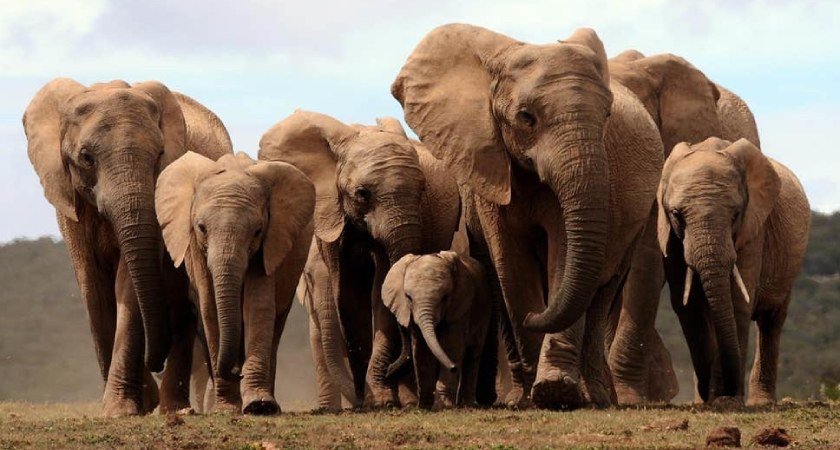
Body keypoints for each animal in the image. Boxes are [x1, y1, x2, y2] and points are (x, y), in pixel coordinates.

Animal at [23, 79, 232, 416]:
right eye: (86, 157)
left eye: (160, 154)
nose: (154, 363)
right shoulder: (70, 201)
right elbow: (92, 285)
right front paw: (130, 405)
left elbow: (128, 284)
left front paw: (124, 408)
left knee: (180, 305)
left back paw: (173, 408)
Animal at [155, 151, 315, 414]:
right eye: (201, 228)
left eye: (257, 231)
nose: (235, 372)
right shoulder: (195, 249)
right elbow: (210, 309)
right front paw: (227, 409)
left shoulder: (269, 242)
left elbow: (258, 306)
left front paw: (260, 406)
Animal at [259, 112, 477, 408]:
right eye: (362, 194)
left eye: (422, 191)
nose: (393, 371)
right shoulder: (331, 214)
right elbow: (349, 292)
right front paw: (368, 400)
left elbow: (381, 291)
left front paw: (381, 399)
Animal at [382, 251, 491, 409]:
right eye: (408, 298)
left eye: (445, 298)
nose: (388, 370)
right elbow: (420, 351)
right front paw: (424, 407)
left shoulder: (459, 308)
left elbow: (452, 346)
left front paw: (445, 406)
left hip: (483, 310)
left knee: (473, 354)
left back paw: (467, 405)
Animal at [657, 137, 809, 405]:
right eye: (676, 215)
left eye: (736, 214)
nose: (714, 393)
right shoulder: (671, 237)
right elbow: (688, 306)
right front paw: (710, 400)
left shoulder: (754, 230)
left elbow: (738, 301)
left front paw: (725, 401)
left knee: (771, 322)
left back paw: (761, 402)